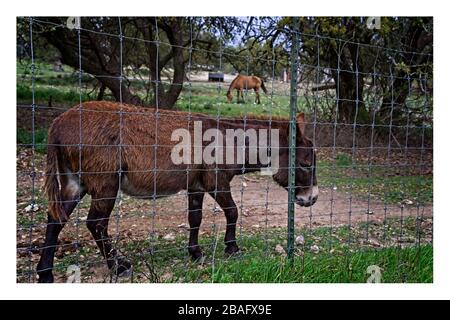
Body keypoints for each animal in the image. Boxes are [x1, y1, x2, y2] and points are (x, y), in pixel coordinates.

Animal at [37, 100, 318, 282]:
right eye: (305, 163)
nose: (312, 198)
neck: (231, 142)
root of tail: (58, 124)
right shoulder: (217, 182)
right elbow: (233, 212)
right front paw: (232, 248)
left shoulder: (196, 186)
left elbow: (195, 219)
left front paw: (195, 253)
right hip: (106, 183)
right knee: (95, 223)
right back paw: (119, 267)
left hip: (76, 182)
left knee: (56, 219)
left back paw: (45, 272)